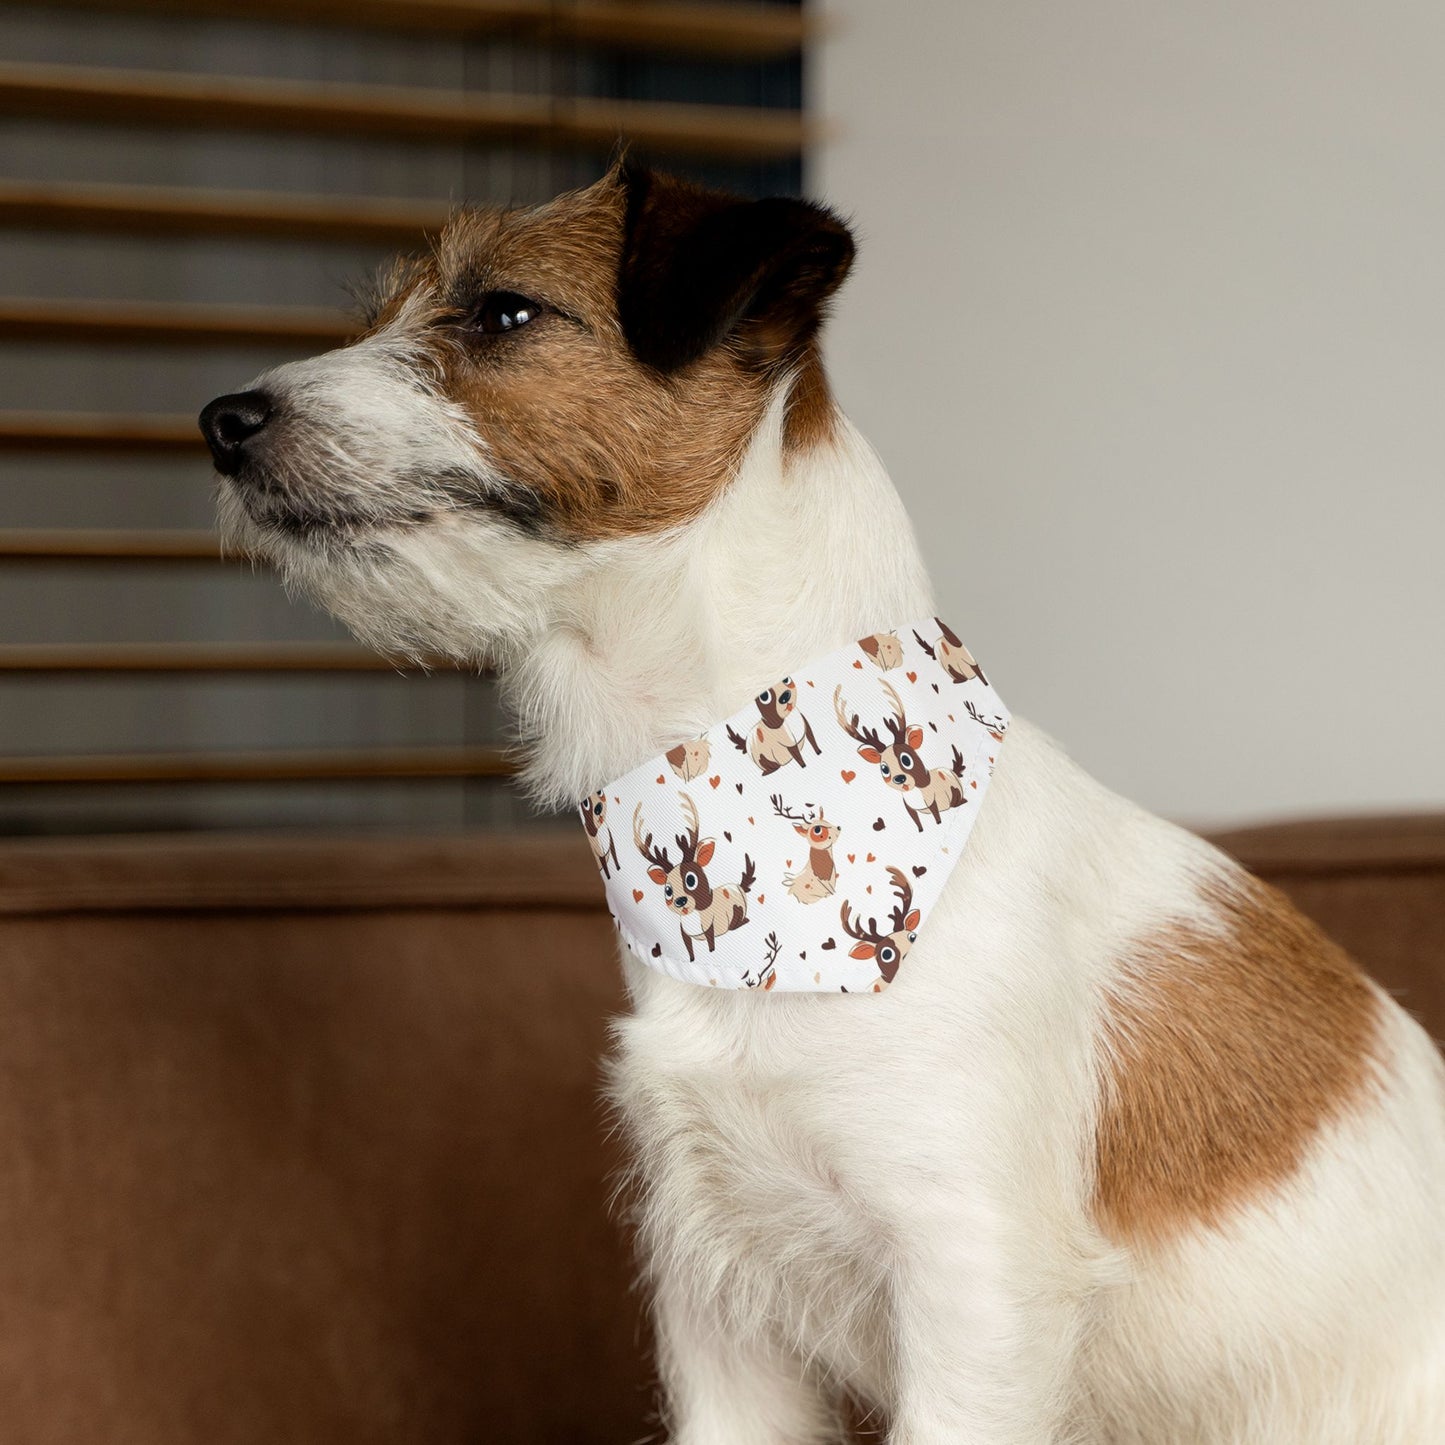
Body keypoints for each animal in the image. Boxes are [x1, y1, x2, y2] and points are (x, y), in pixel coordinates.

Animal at [632, 791, 755, 962]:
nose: (680, 901)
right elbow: (690, 950)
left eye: (691, 880)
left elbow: (711, 944)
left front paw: (711, 950)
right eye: (668, 890)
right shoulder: (684, 935)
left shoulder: (710, 929)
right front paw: (691, 958)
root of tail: (739, 886)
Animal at [834, 678, 968, 832]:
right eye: (884, 769)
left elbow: (937, 817)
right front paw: (921, 830)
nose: (899, 778)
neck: (915, 793)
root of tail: (952, 771)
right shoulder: (910, 809)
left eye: (906, 760)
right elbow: (917, 822)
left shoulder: (932, 803)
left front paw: (938, 823)